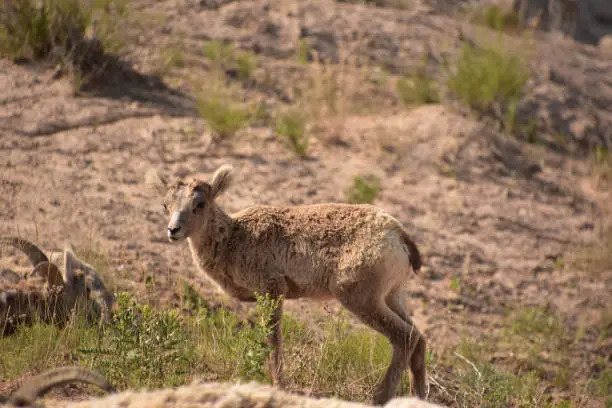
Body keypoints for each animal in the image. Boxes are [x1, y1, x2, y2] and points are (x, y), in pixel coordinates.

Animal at [146, 163, 428, 404]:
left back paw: (380, 397)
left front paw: (279, 384)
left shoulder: (271, 289)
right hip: (391, 296)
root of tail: (397, 235)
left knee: (405, 336)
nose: (173, 230)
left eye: (200, 203)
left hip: (360, 298)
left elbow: (273, 339)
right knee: (419, 337)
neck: (233, 239)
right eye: (165, 204)